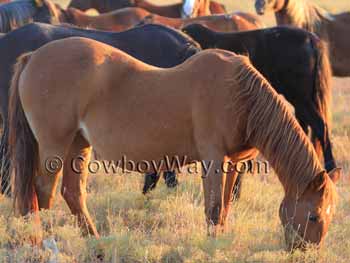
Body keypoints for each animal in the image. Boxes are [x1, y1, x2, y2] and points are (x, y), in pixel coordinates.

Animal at [9, 37, 340, 252]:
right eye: (313, 215)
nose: (307, 253)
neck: (240, 95)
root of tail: (32, 56)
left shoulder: (233, 162)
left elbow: (225, 207)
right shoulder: (213, 159)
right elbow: (213, 208)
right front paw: (212, 247)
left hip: (78, 145)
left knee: (72, 193)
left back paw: (95, 243)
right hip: (54, 146)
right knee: (41, 193)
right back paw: (44, 245)